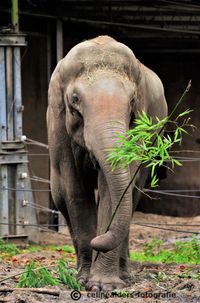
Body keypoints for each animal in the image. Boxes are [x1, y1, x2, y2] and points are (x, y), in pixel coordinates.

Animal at [47, 35, 167, 292]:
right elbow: (74, 188)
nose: (97, 241)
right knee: (61, 195)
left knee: (133, 193)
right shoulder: (57, 121)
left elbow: (113, 193)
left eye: (132, 101)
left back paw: (124, 275)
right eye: (75, 100)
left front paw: (103, 286)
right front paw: (84, 280)